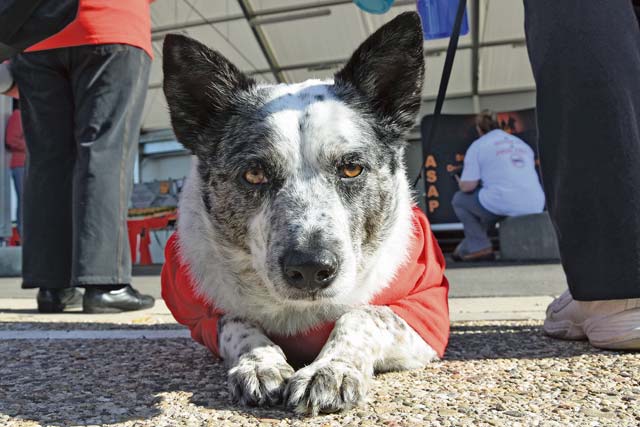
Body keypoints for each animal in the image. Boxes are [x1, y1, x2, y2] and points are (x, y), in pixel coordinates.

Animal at [160, 11, 450, 416]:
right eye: (254, 174)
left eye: (351, 168)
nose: (311, 268)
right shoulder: (203, 316)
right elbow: (236, 320)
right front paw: (260, 362)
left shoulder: (425, 315)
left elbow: (362, 314)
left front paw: (331, 370)